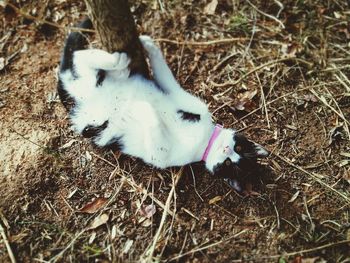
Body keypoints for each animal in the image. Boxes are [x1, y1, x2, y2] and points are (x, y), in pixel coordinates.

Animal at [57, 18, 268, 192]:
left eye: (229, 165)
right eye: (238, 148)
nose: (227, 151)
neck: (205, 139)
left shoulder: (161, 156)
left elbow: (152, 118)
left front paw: (140, 107)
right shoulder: (183, 98)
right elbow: (165, 76)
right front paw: (150, 45)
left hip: (89, 101)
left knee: (79, 59)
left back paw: (119, 63)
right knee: (80, 57)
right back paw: (118, 60)